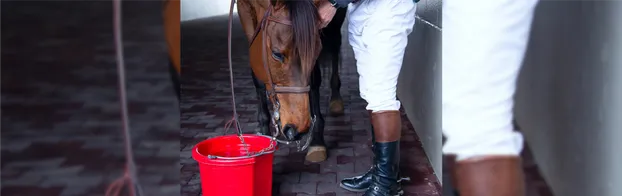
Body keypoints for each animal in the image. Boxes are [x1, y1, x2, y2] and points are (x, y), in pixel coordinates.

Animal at [238, 0, 336, 154]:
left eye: (316, 52)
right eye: (276, 54)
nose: (297, 130)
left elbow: (314, 81)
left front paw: (317, 141)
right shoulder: (244, 9)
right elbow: (258, 80)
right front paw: (264, 131)